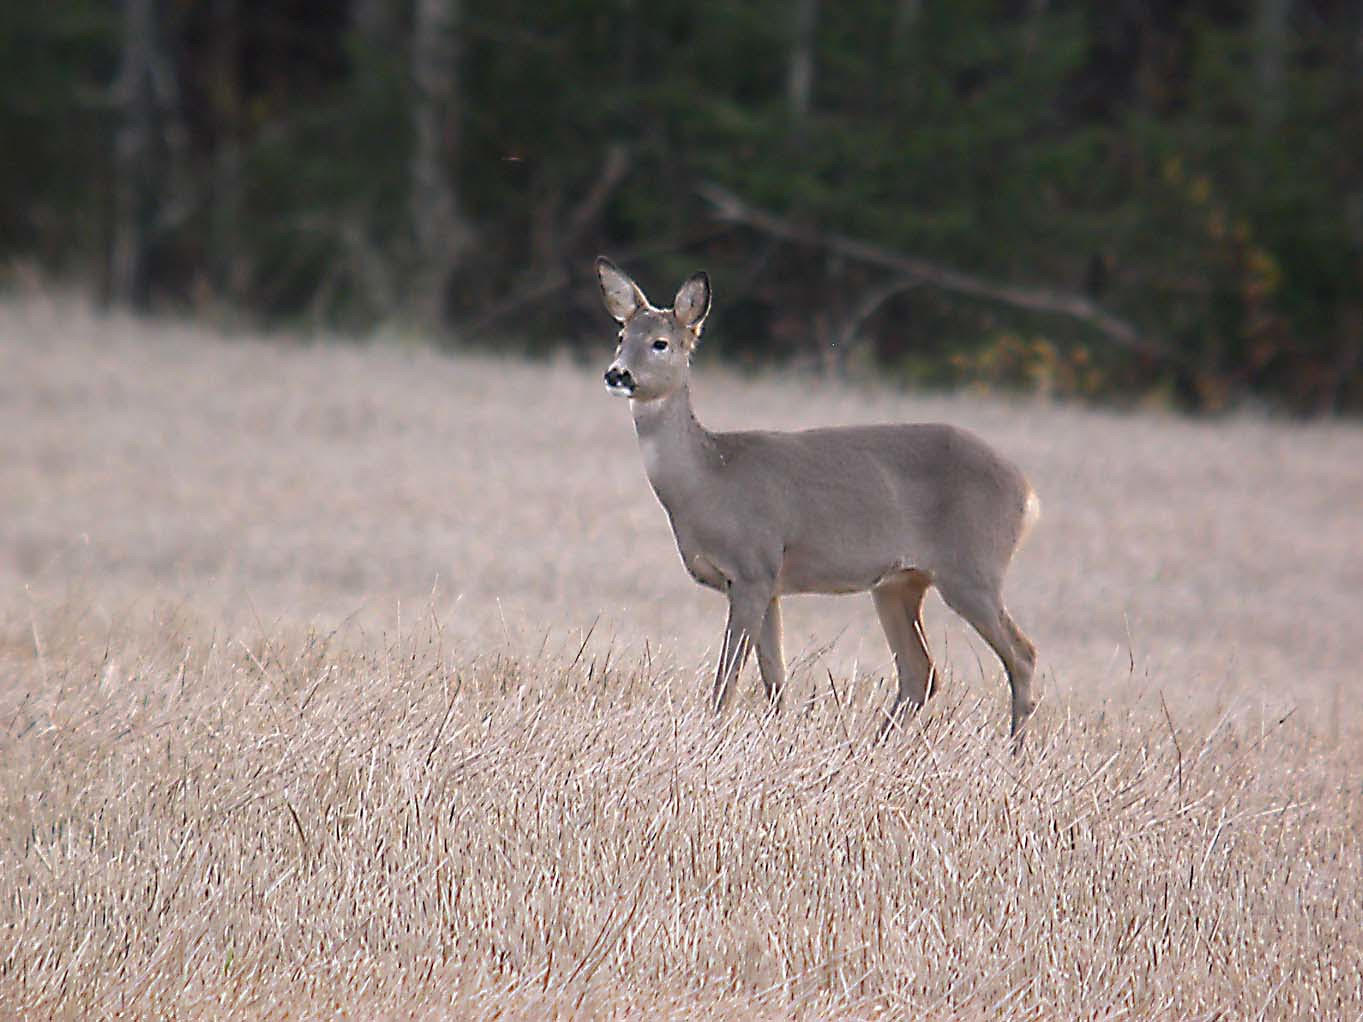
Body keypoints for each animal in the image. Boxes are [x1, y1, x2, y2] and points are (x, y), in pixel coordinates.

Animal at [596, 257, 1041, 742]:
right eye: (621, 336)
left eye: (660, 343)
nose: (617, 374)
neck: (710, 478)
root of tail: (1027, 492)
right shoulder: (767, 582)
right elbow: (774, 677)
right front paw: (775, 737)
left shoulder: (753, 566)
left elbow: (727, 677)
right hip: (900, 582)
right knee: (919, 671)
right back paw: (874, 746)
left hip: (972, 567)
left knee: (1021, 654)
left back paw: (1013, 749)